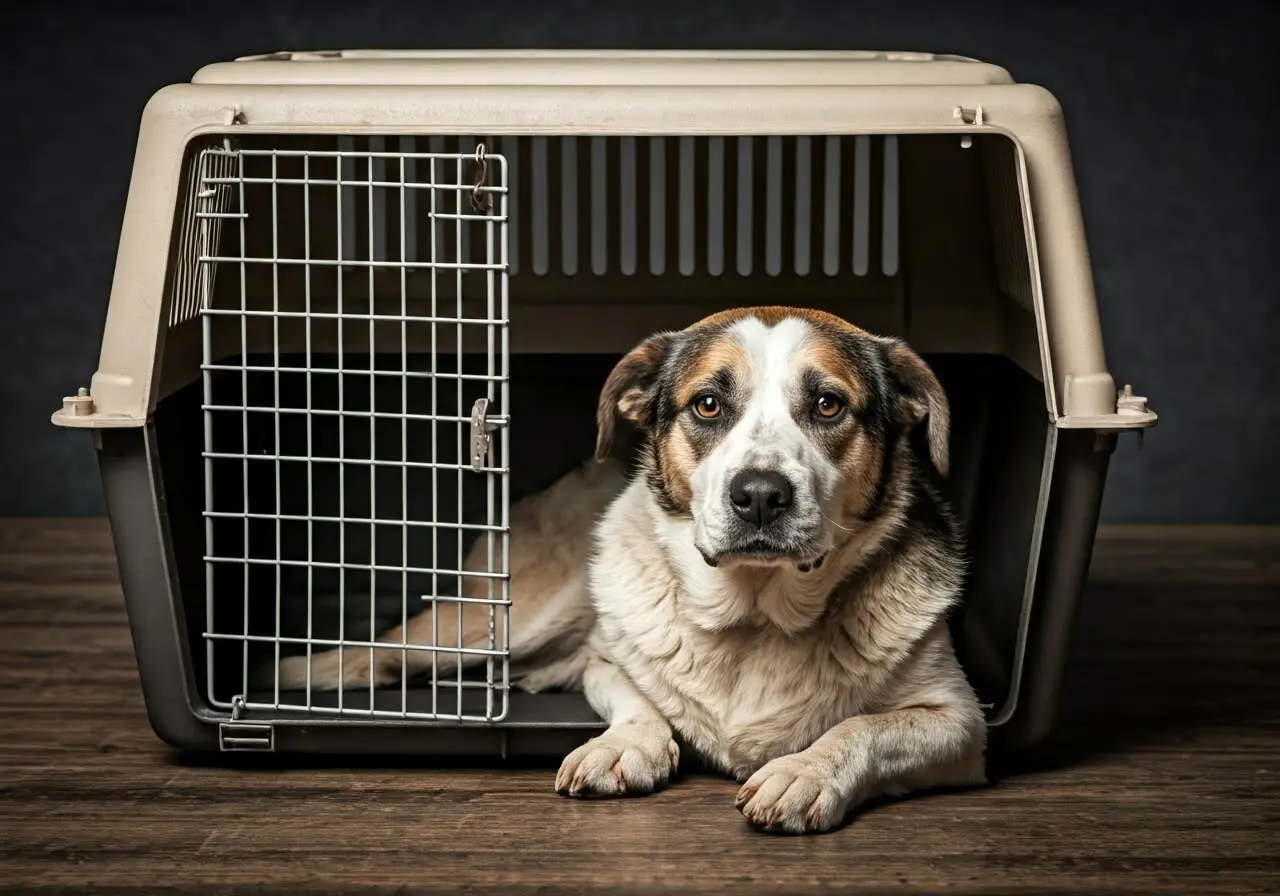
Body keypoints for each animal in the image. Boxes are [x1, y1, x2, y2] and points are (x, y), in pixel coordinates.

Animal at [275, 305, 983, 834]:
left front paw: (805, 772)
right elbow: (638, 698)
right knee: (388, 652)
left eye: (829, 405)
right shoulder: (606, 658)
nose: (759, 495)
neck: (755, 614)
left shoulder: (961, 723)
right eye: (707, 405)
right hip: (510, 619)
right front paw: (625, 745)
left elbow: (867, 727)